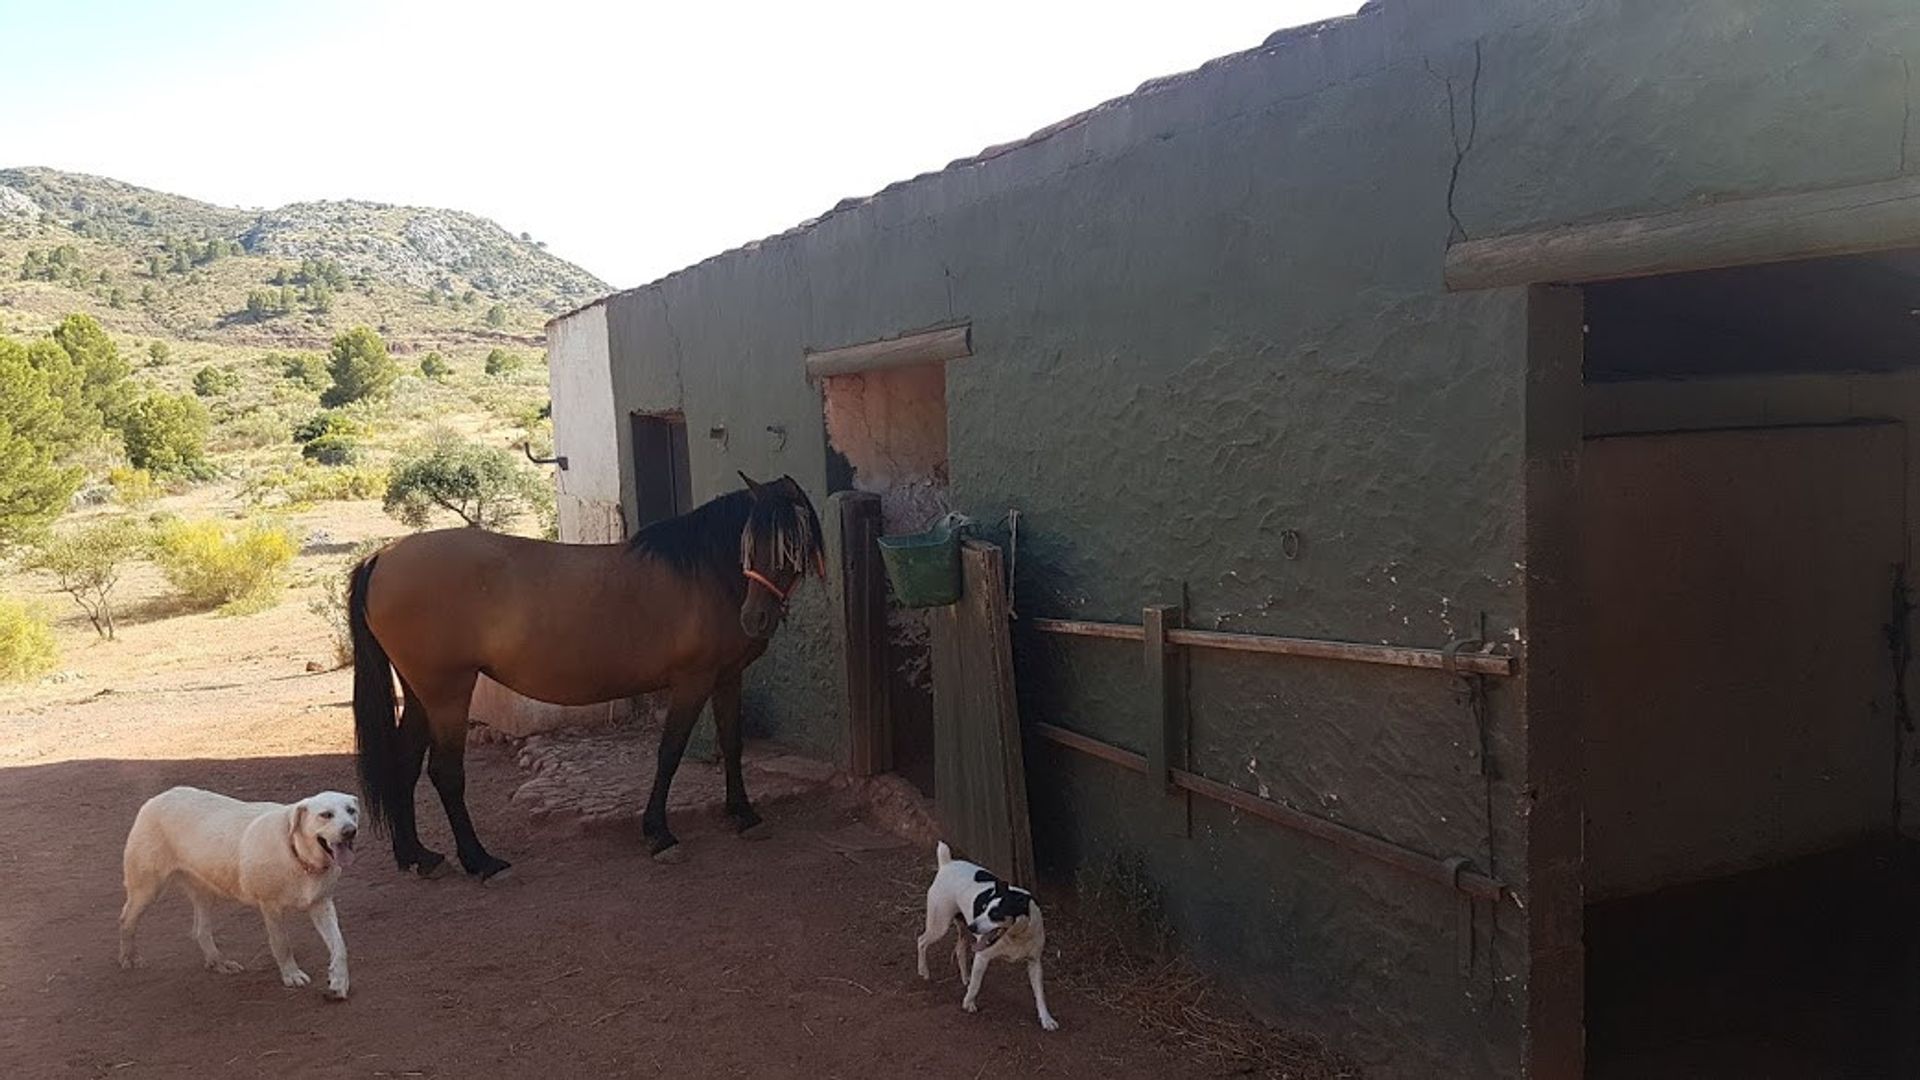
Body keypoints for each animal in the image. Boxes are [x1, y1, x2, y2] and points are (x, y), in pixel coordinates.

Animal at [119, 780, 360, 999]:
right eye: (326, 815)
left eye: (351, 810)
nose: (350, 831)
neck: (299, 857)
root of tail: (158, 797)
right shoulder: (270, 907)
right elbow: (282, 944)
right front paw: (291, 975)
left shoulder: (322, 904)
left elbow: (340, 947)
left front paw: (339, 982)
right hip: (147, 888)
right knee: (126, 920)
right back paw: (129, 958)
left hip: (204, 891)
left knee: (200, 930)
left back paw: (219, 963)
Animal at [345, 470, 825, 876]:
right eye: (750, 545)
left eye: (789, 546)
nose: (755, 619)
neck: (704, 572)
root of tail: (382, 556)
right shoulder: (692, 681)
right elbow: (669, 754)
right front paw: (659, 833)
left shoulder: (727, 678)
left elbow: (732, 744)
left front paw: (743, 813)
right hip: (447, 695)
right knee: (445, 774)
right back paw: (481, 861)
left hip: (421, 694)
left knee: (404, 764)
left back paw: (419, 856)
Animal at [917, 837, 1059, 1030]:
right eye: (983, 908)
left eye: (995, 914)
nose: (973, 926)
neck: (1015, 936)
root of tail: (947, 864)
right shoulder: (982, 956)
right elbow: (976, 985)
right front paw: (968, 1003)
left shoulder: (1034, 963)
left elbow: (1040, 995)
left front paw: (1046, 1019)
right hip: (940, 925)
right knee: (921, 941)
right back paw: (923, 971)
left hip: (961, 928)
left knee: (960, 949)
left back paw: (965, 977)